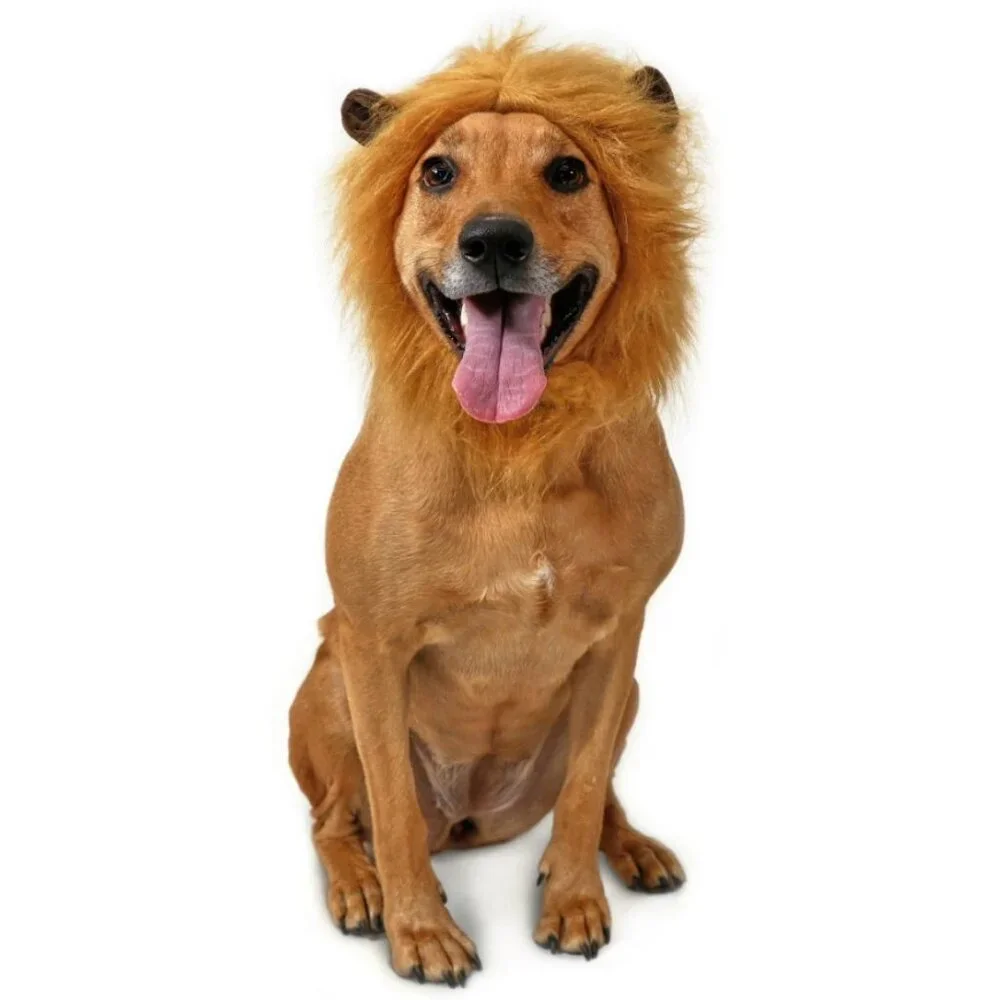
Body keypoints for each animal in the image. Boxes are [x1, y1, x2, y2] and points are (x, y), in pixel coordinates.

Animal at [288, 31, 700, 985]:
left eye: (568, 171)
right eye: (438, 171)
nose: (495, 240)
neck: (516, 449)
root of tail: (472, 821)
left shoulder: (620, 636)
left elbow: (583, 789)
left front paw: (575, 900)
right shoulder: (372, 645)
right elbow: (392, 811)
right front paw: (420, 931)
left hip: (625, 694)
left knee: (597, 790)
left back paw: (628, 850)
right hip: (325, 684)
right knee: (337, 818)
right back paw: (359, 887)